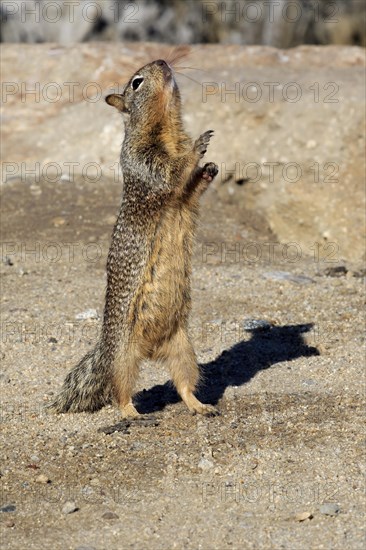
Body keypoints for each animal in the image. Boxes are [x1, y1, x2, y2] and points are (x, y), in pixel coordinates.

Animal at [49, 58, 219, 418]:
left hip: (183, 348)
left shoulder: (184, 197)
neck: (166, 128)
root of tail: (151, 349)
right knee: (120, 391)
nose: (164, 61)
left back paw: (200, 406)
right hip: (124, 358)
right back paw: (132, 414)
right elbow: (173, 171)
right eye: (137, 82)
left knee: (183, 382)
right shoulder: (148, 164)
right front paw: (199, 145)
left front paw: (210, 167)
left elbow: (191, 187)